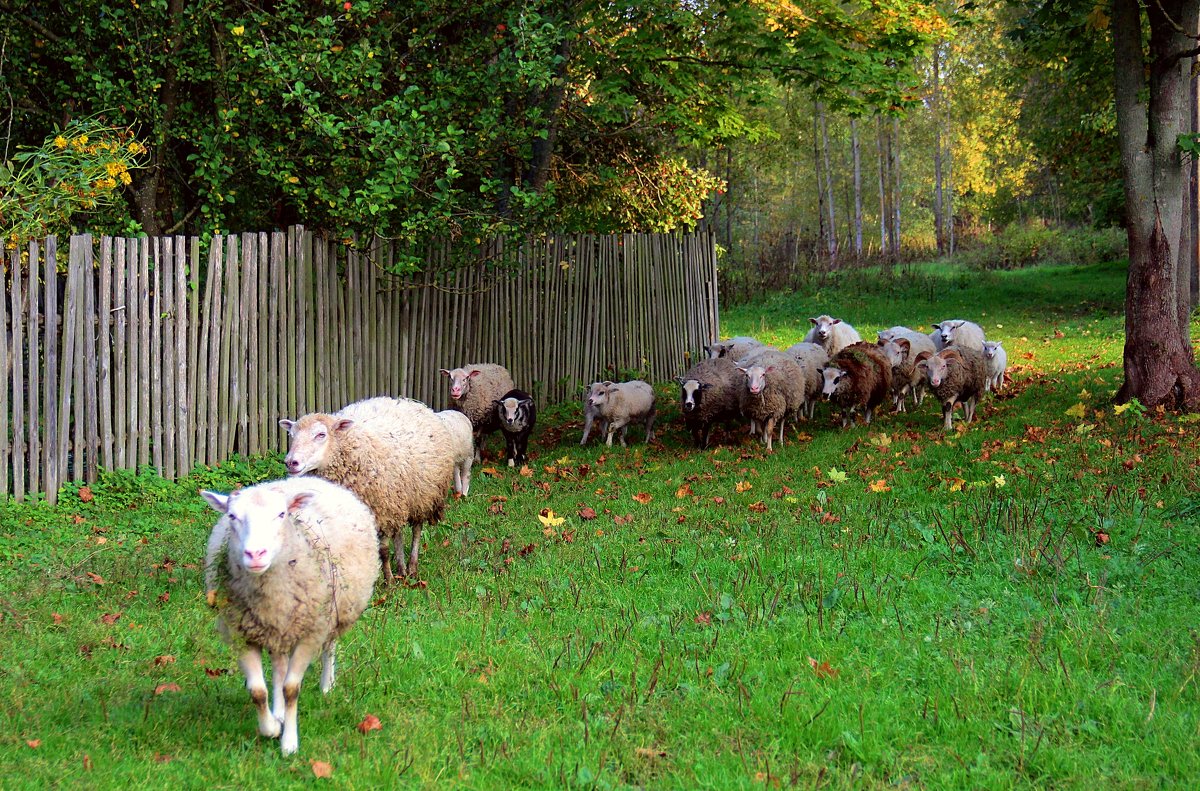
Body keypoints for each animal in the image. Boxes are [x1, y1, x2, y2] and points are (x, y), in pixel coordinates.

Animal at [201, 480, 379, 758]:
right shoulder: (241, 635)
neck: (270, 598)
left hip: (333, 612)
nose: (255, 554)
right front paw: (272, 727)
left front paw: (289, 744)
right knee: (278, 666)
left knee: (329, 647)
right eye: (232, 516)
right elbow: (257, 691)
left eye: (281, 514)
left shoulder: (310, 634)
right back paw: (279, 712)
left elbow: (291, 689)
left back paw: (327, 685)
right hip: (279, 631)